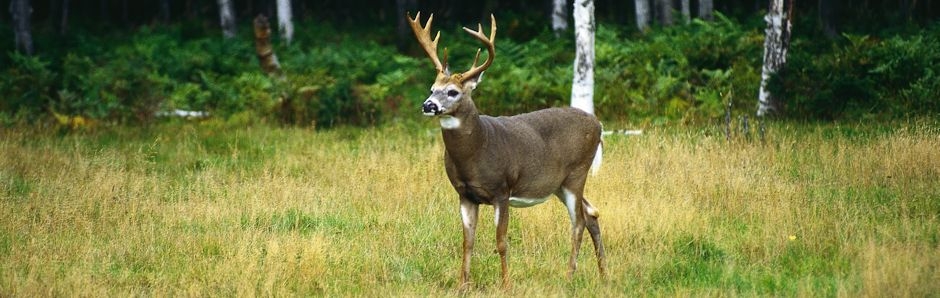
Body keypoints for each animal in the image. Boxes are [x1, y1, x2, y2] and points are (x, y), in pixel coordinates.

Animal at [408, 12, 604, 290]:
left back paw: (568, 277)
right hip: (559, 184)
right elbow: (467, 242)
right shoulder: (465, 194)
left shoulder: (501, 190)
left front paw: (506, 284)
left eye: (453, 91)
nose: (428, 105)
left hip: (577, 172)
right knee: (592, 213)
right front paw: (462, 286)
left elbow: (501, 242)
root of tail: (599, 125)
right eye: (432, 88)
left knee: (578, 222)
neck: (475, 152)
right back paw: (603, 275)